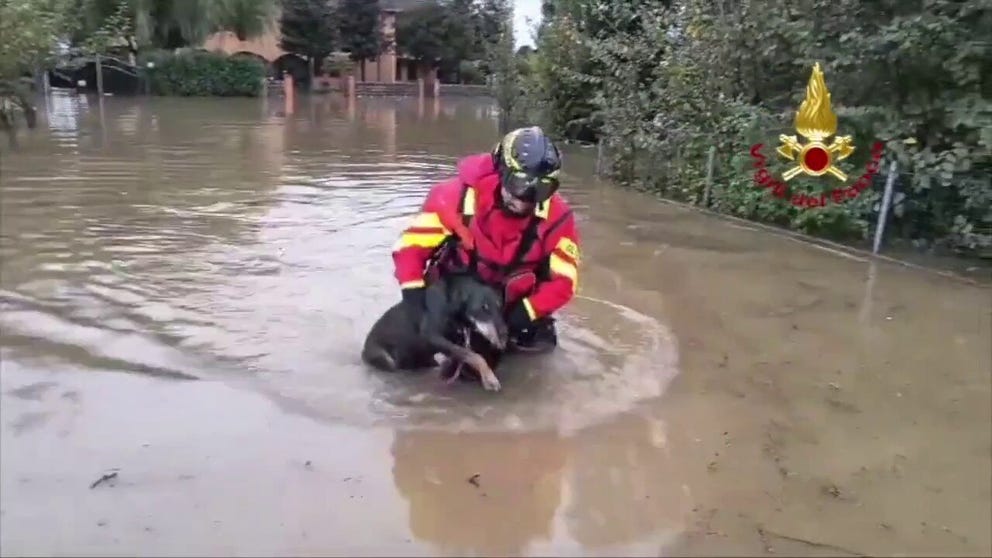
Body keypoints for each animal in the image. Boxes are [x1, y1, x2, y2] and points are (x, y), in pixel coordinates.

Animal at [360, 274, 508, 392]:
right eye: (483, 308)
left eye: (499, 305)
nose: (504, 335)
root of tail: (364, 350)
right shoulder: (432, 336)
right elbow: (474, 356)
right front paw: (489, 379)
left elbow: (467, 354)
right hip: (386, 359)